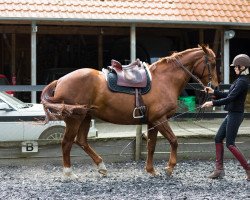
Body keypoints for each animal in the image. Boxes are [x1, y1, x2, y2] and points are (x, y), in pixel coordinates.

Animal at [41, 45, 219, 178]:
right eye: (212, 63)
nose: (215, 87)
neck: (164, 80)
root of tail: (60, 80)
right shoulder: (160, 119)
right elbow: (174, 141)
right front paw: (169, 168)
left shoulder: (153, 121)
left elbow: (151, 145)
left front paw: (151, 170)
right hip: (75, 119)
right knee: (67, 143)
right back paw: (69, 173)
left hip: (85, 117)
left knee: (82, 141)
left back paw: (101, 167)